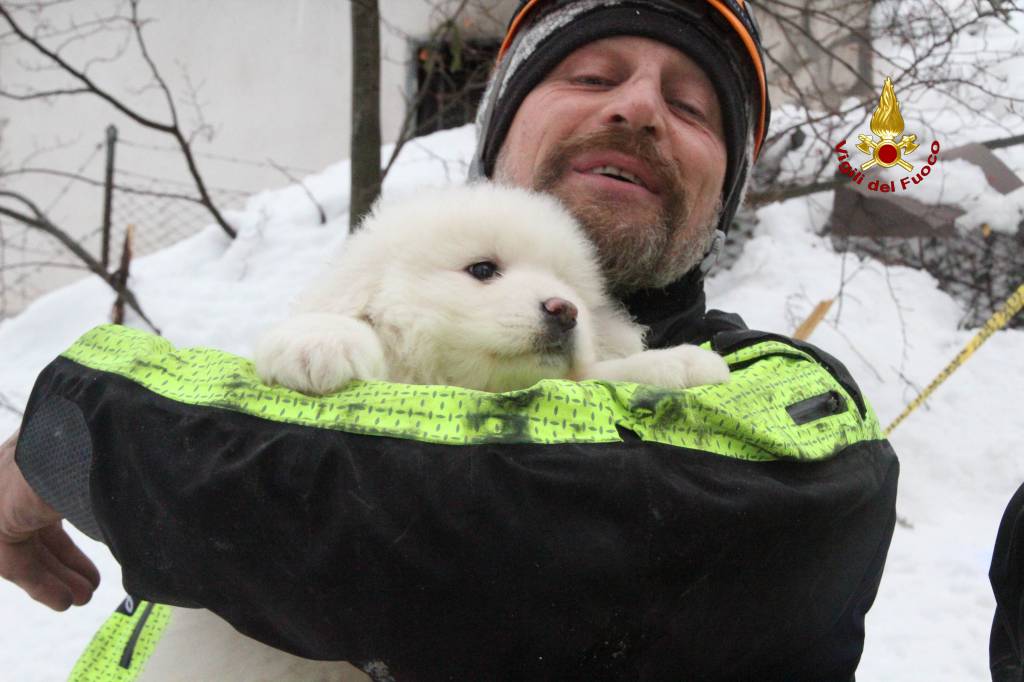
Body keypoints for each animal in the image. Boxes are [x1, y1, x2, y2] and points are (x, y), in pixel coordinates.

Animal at [136, 182, 729, 679]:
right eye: (483, 269)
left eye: (572, 288)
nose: (565, 310)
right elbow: (359, 331)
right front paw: (317, 341)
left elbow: (605, 373)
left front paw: (683, 364)